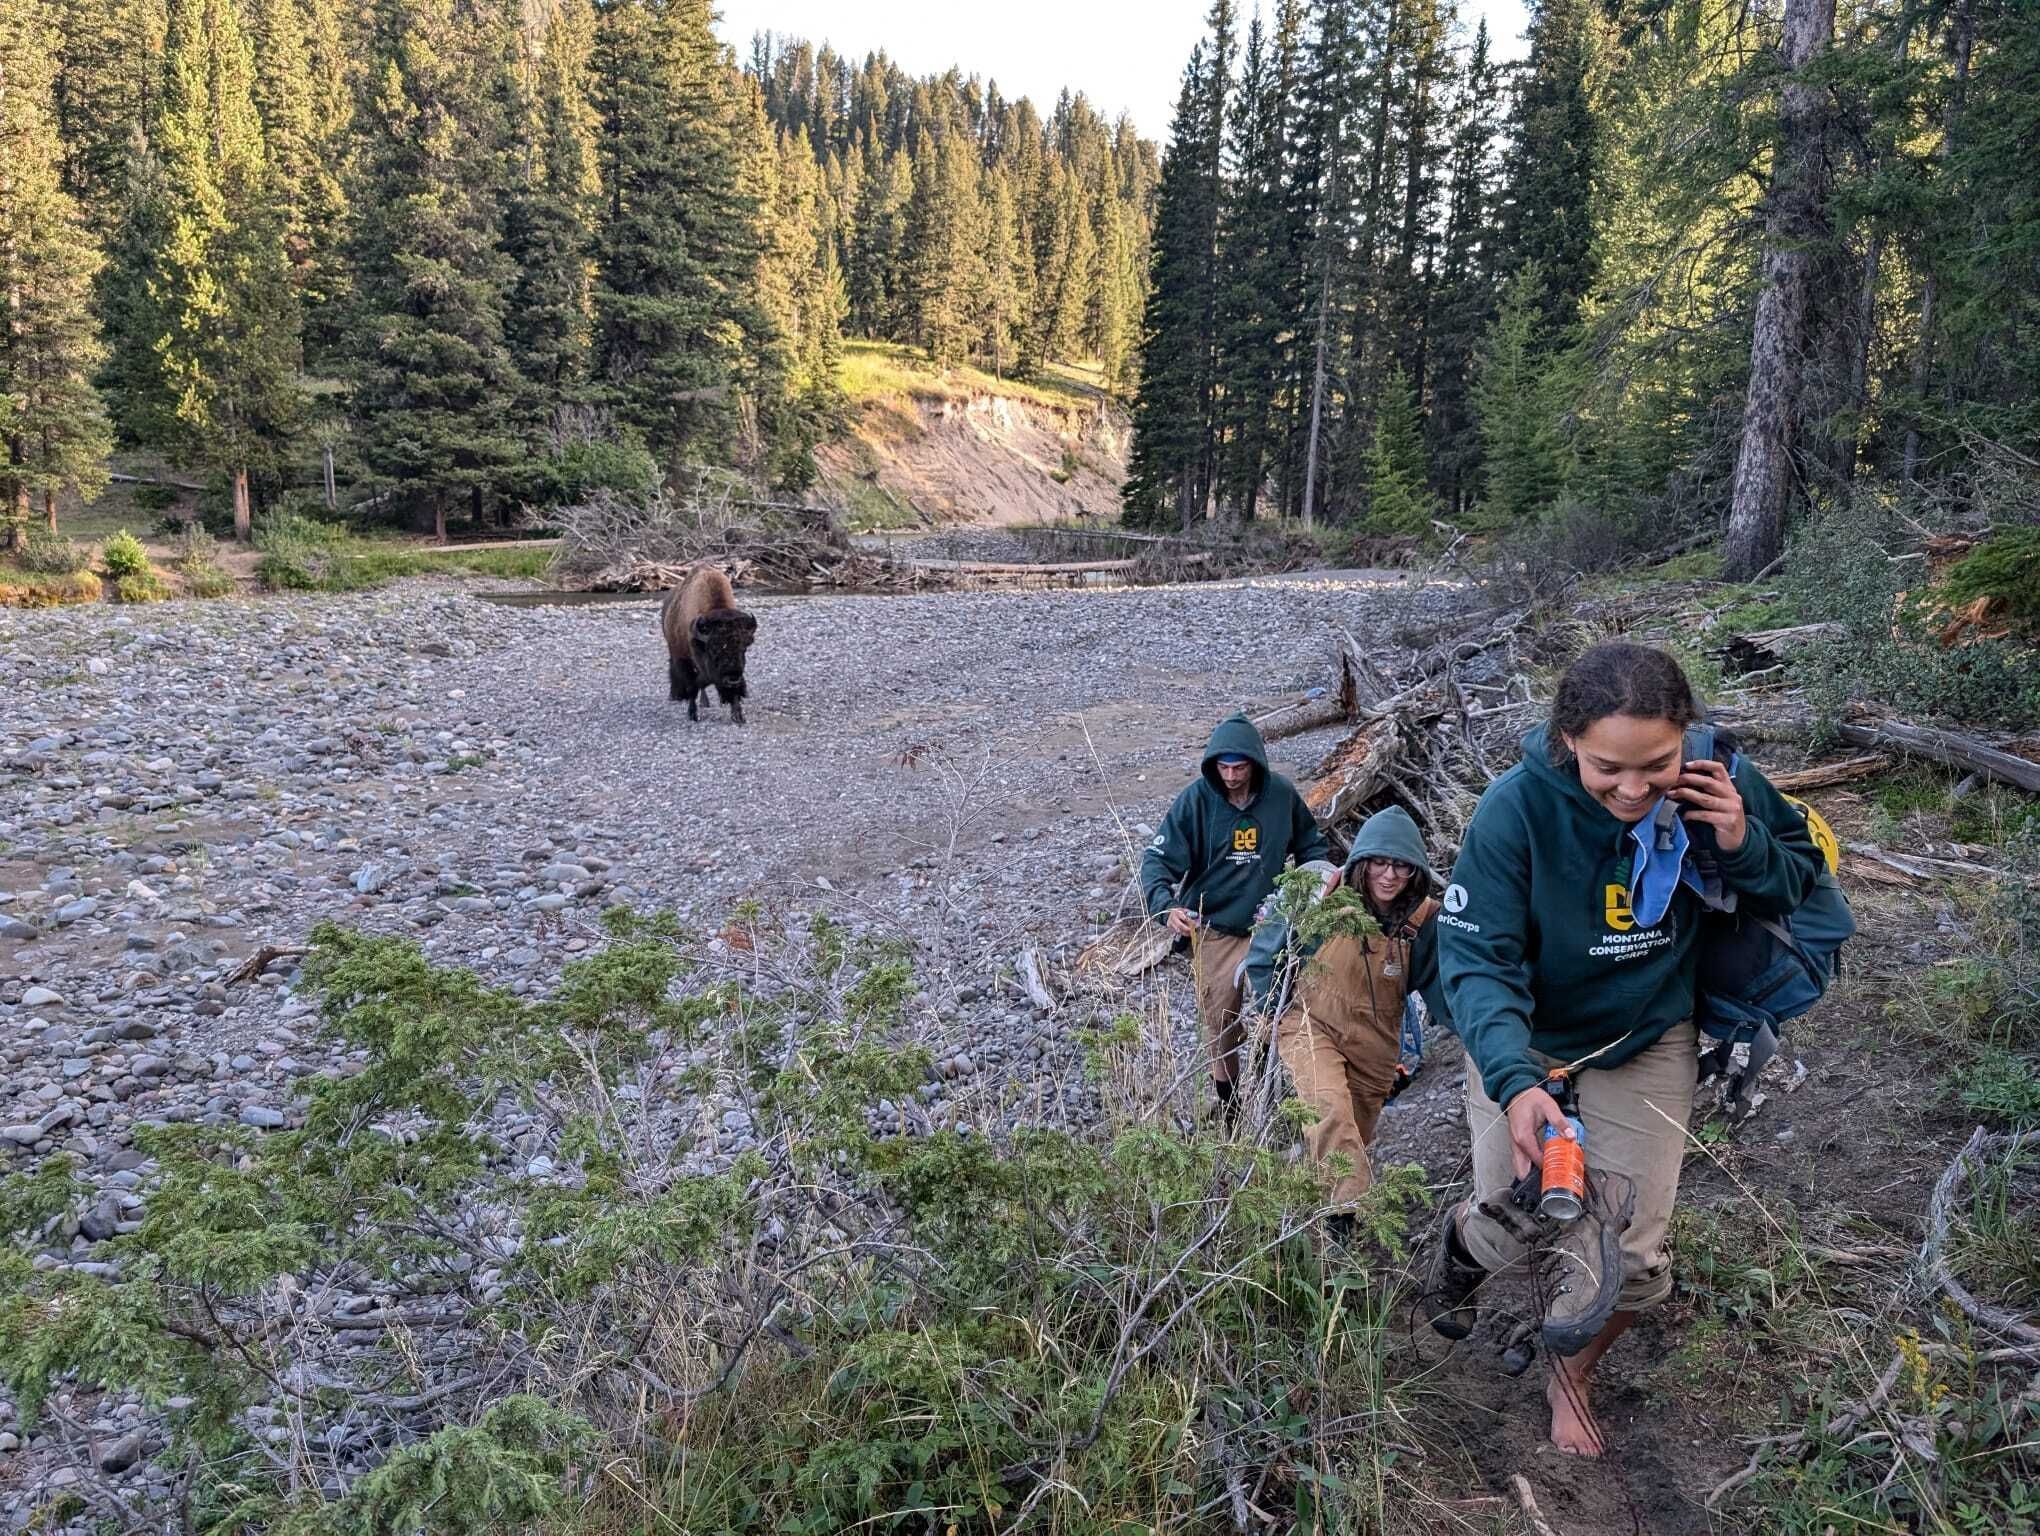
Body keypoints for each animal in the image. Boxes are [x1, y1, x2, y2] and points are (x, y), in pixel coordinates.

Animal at [660, 571, 758, 726]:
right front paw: (693, 715)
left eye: (744, 649)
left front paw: (738, 716)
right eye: (714, 650)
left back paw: (704, 702)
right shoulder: (684, 661)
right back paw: (676, 696)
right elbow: (692, 687)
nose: (732, 679)